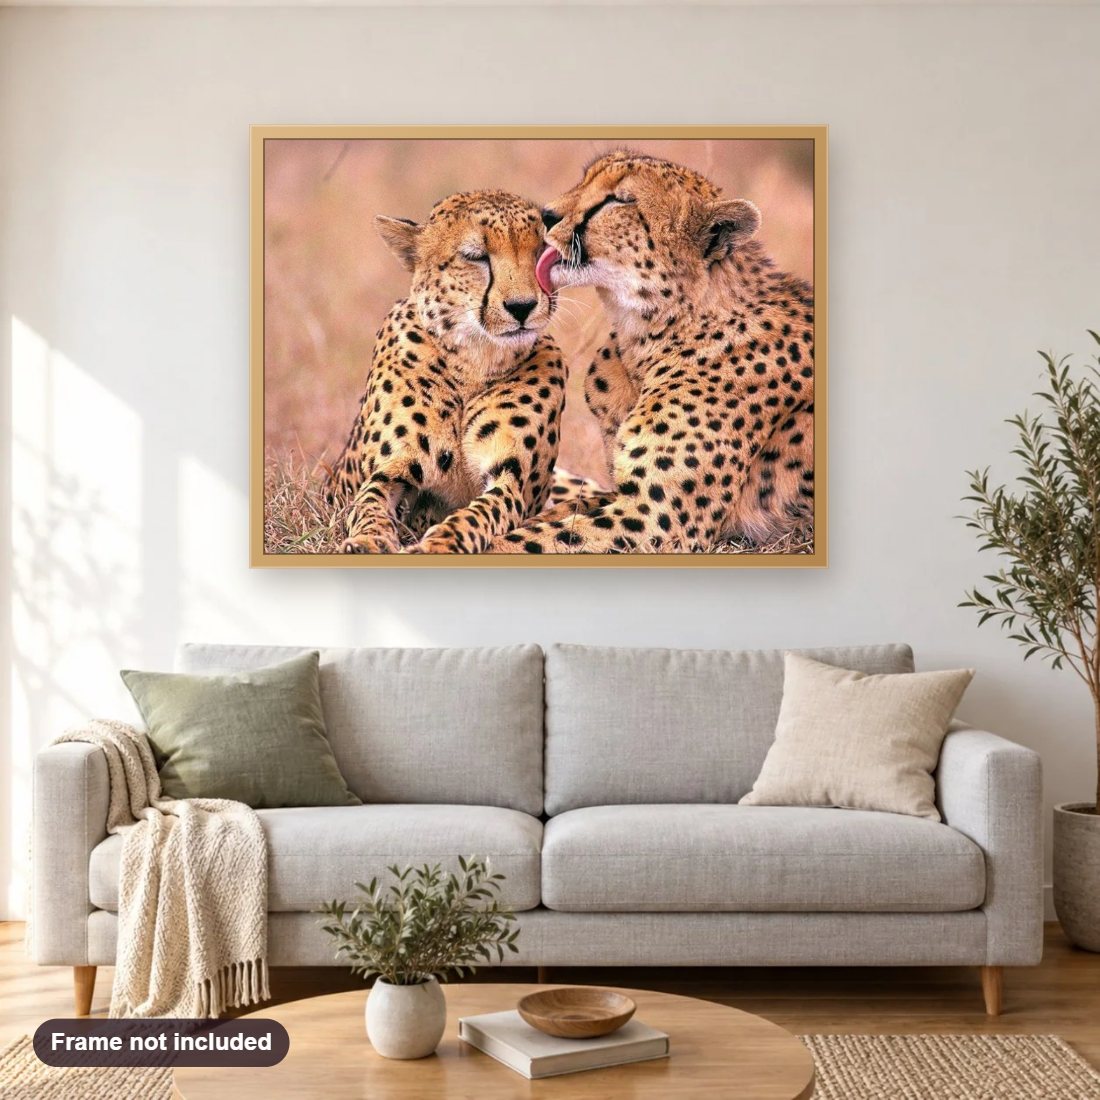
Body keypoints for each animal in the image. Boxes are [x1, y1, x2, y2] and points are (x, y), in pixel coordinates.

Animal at [325, 190, 566, 554]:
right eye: (475, 256)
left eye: (541, 251)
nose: (522, 307)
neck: (474, 361)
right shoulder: (390, 471)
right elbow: (369, 505)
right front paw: (368, 541)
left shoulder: (510, 480)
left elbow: (477, 514)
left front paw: (440, 544)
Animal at [490, 150, 814, 555]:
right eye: (586, 179)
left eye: (619, 200)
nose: (546, 215)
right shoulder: (623, 496)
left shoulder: (657, 520)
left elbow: (524, 541)